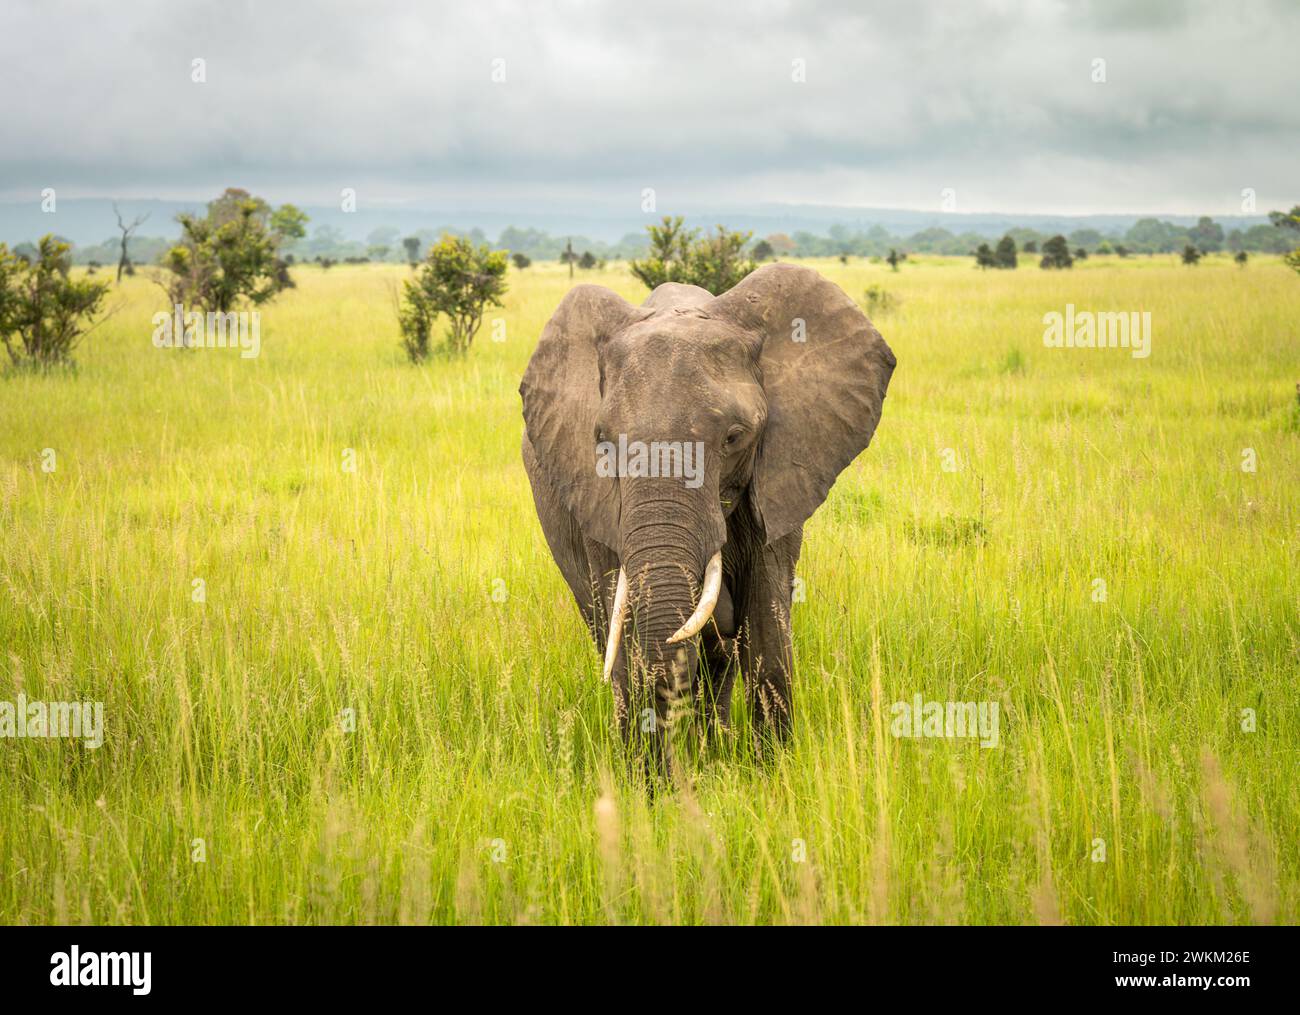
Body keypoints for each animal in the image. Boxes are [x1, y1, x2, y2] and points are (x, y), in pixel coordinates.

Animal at [517, 261, 894, 769]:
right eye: (602, 443)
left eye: (734, 437)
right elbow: (624, 631)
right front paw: (646, 783)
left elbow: (766, 617)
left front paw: (770, 773)